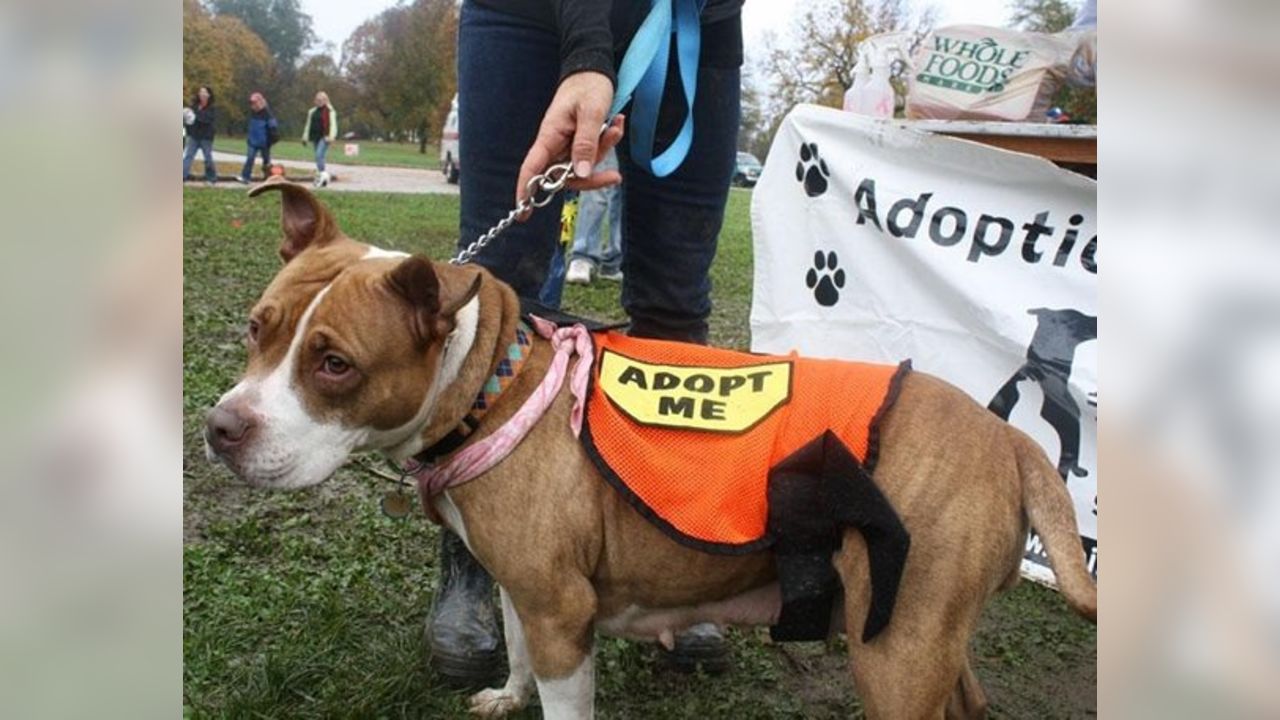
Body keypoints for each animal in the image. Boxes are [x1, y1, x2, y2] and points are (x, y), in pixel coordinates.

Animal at [204, 178, 1095, 712]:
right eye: (256, 328)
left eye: (335, 365)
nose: (222, 428)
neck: (490, 387)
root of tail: (1007, 439)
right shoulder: (526, 588)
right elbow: (516, 646)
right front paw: (509, 694)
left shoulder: (564, 616)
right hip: (928, 634)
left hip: (897, 648)